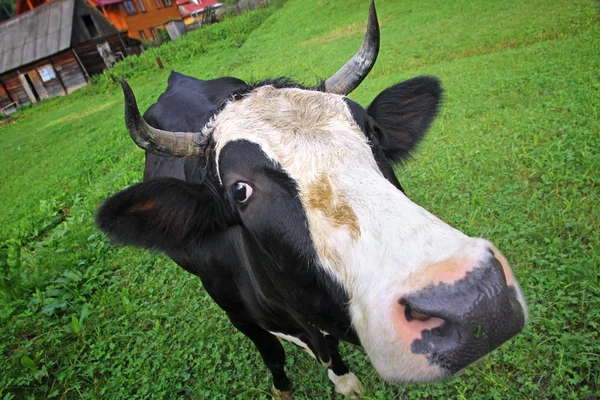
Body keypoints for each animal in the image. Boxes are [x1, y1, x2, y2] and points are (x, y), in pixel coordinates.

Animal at [96, 2, 528, 396]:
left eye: (372, 130)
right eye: (240, 190)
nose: (473, 300)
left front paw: (344, 380)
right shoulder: (237, 314)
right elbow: (273, 355)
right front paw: (287, 386)